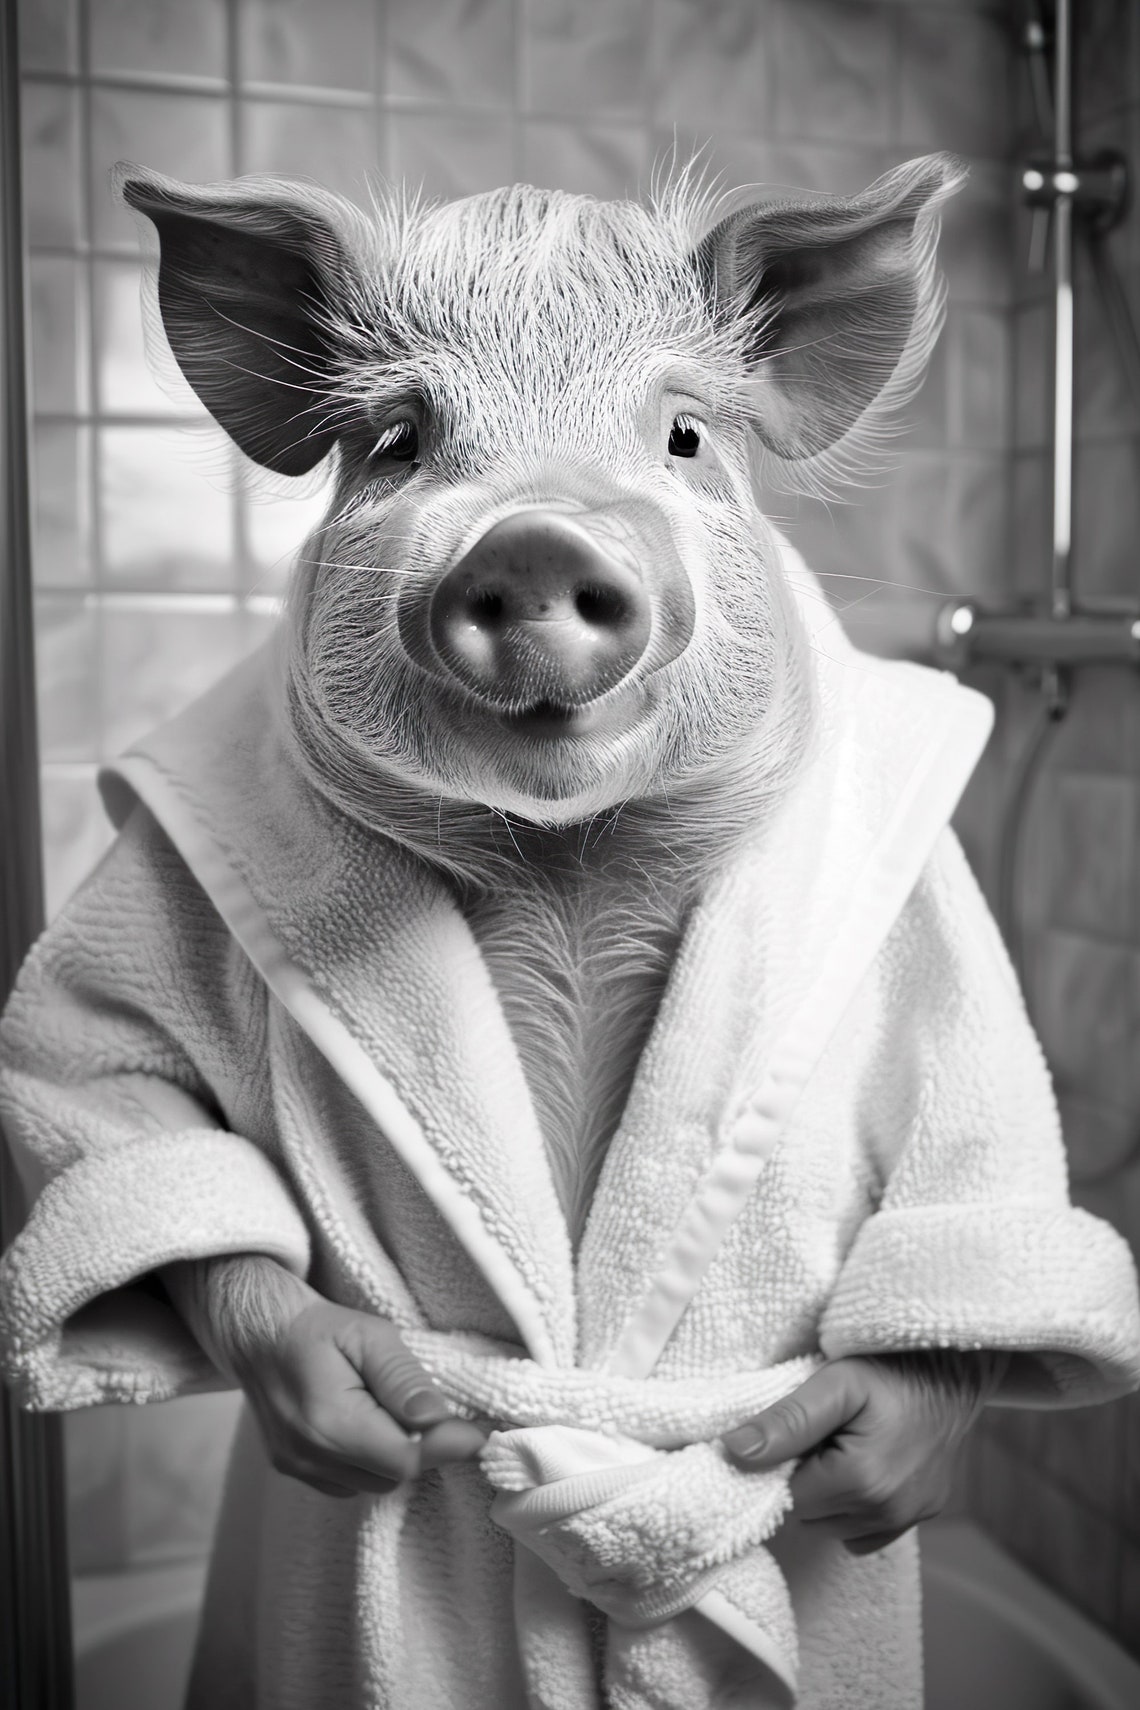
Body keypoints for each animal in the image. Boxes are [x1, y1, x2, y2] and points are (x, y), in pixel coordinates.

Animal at [2, 154, 1138, 1710]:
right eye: (399, 443)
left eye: (684, 435)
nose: (538, 536)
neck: (568, 868)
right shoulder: (157, 883)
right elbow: (103, 1074)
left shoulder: (933, 918)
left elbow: (970, 1144)